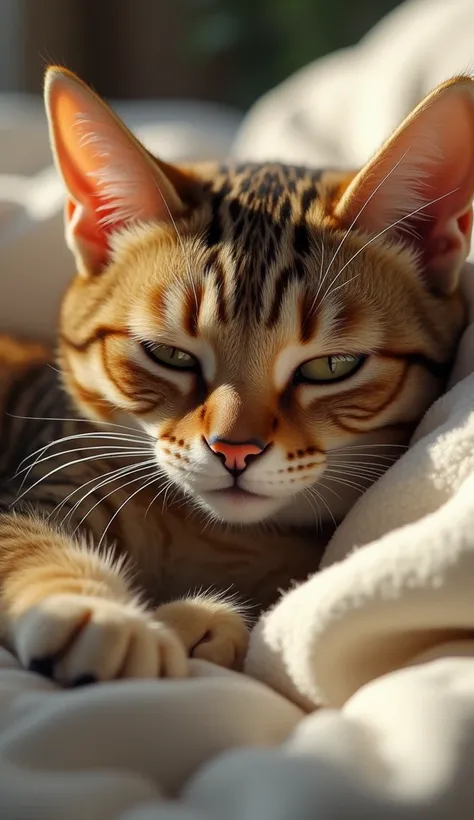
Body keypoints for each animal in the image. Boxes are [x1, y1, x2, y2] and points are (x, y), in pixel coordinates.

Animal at [0, 69, 474, 684]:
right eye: (169, 354)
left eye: (331, 366)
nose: (234, 450)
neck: (217, 536)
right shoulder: (39, 486)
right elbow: (27, 541)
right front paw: (99, 614)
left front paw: (200, 621)